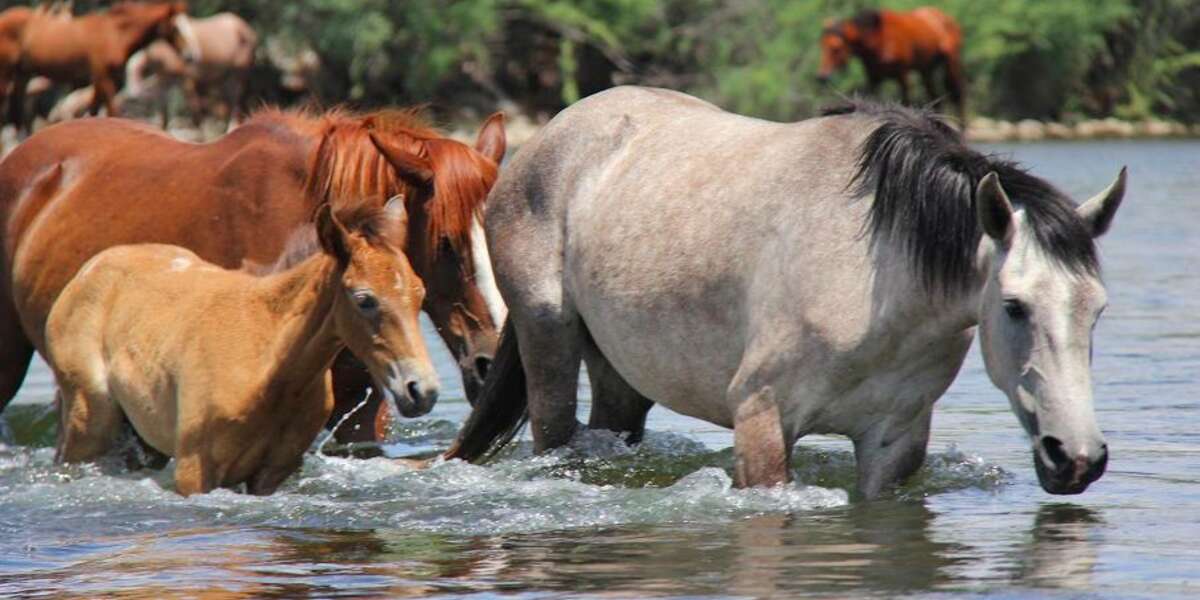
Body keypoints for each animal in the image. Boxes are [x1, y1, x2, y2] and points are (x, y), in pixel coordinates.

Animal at [2, 1, 188, 131]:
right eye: (176, 27)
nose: (188, 53)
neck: (114, 33)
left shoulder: (101, 80)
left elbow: (94, 110)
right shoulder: (103, 76)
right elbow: (112, 111)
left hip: (22, 74)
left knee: (16, 112)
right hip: (7, 72)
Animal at [46, 199, 438, 496]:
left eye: (421, 293)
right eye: (365, 300)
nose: (422, 391)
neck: (267, 361)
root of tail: (90, 269)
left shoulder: (271, 474)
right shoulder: (194, 471)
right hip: (90, 421)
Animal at [125, 12, 257, 128]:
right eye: (175, 31)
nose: (193, 55)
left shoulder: (186, 80)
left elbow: (196, 114)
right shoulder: (163, 82)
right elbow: (164, 115)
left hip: (237, 76)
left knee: (235, 105)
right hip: (224, 79)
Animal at [446, 86, 1127, 500]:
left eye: (1097, 311)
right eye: (1014, 306)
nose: (1076, 458)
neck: (877, 276)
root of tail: (545, 141)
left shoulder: (894, 443)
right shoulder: (762, 423)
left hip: (622, 374)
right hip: (548, 340)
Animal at [818, 7, 966, 127]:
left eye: (835, 48)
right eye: (822, 45)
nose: (822, 76)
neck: (878, 39)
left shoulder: (902, 74)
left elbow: (906, 102)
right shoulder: (874, 78)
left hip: (951, 61)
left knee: (957, 93)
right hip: (926, 69)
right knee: (935, 96)